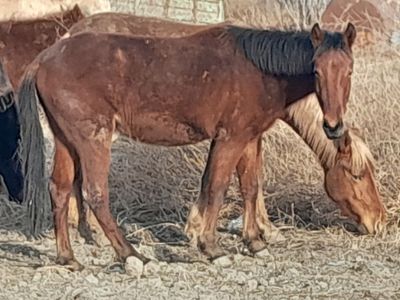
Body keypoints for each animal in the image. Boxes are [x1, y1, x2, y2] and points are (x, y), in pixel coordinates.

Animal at [18, 23, 356, 270]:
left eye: (349, 70)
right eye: (316, 70)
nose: (333, 126)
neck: (258, 70)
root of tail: (45, 58)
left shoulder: (248, 138)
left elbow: (249, 187)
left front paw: (254, 242)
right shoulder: (230, 138)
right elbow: (217, 187)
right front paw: (212, 248)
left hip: (66, 140)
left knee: (60, 190)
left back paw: (68, 258)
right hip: (93, 140)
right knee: (96, 194)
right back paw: (132, 256)